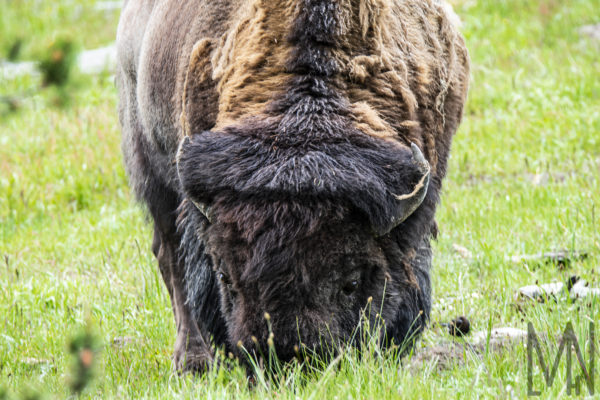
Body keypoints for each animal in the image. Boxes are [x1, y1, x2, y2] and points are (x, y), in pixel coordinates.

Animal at [116, 0, 468, 372]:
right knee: (171, 258)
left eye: (352, 282)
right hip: (150, 166)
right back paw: (193, 361)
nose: (285, 357)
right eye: (224, 276)